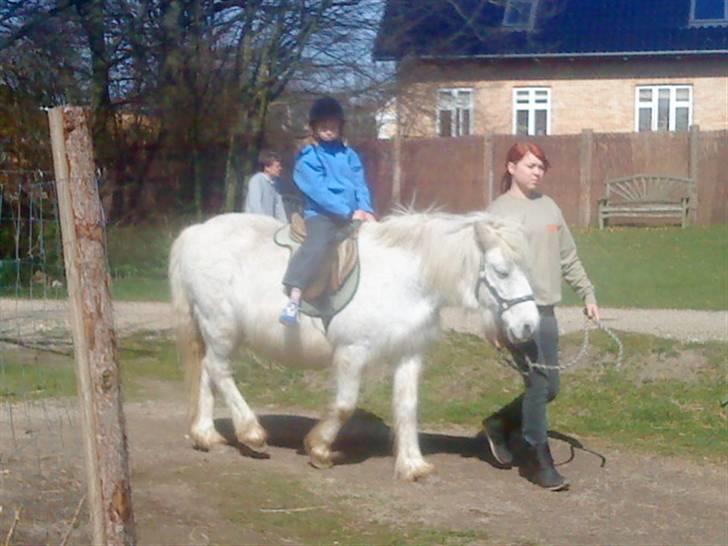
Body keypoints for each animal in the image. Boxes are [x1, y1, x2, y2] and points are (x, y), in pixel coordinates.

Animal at [168, 210, 539, 481]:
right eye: (501, 271)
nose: (529, 325)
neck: (405, 279)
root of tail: (194, 232)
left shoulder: (409, 353)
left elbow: (408, 406)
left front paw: (412, 465)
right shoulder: (352, 352)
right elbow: (345, 405)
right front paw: (319, 449)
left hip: (214, 329)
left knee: (208, 372)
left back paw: (206, 435)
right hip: (222, 325)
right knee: (219, 371)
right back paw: (251, 433)